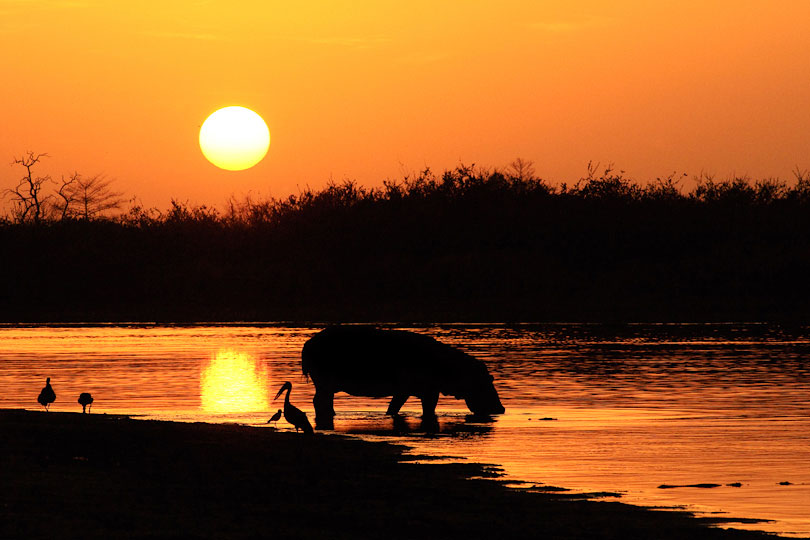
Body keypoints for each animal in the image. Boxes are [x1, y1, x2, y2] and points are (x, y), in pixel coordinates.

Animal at [301, 326, 505, 429]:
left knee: (323, 402)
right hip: (325, 382)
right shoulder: (424, 391)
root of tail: (308, 343)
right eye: (487, 382)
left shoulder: (412, 391)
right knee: (319, 401)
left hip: (325, 384)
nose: (502, 408)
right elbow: (424, 409)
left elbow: (396, 407)